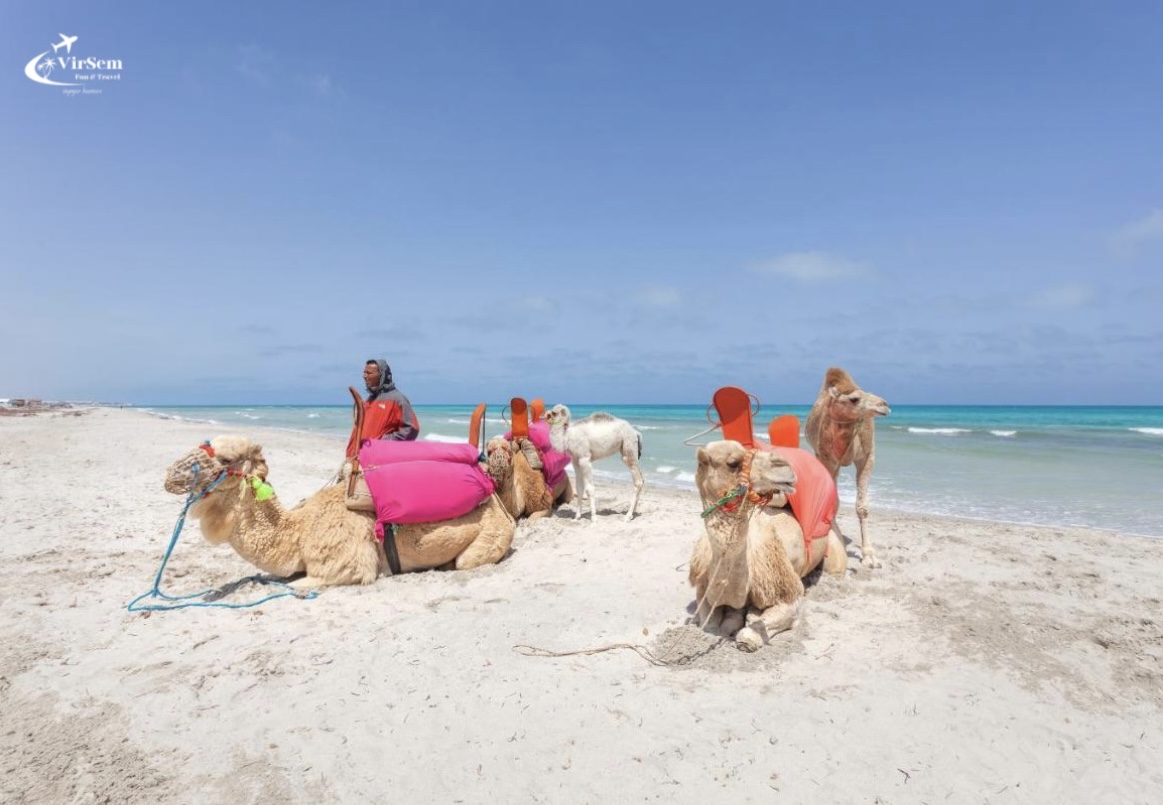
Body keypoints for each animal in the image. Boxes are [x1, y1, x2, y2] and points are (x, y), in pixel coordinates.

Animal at [163, 435, 517, 589]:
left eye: (225, 460)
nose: (170, 476)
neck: (299, 531)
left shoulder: (347, 566)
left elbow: (298, 585)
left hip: (491, 535)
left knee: (466, 560)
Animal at [689, 440, 847, 651]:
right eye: (733, 463)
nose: (783, 465)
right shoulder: (703, 587)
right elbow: (710, 625)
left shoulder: (789, 593)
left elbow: (749, 636)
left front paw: (750, 622)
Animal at [804, 367, 891, 568]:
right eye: (854, 399)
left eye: (867, 392)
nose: (884, 404)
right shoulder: (827, 458)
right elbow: (833, 500)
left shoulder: (866, 458)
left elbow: (862, 507)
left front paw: (869, 556)